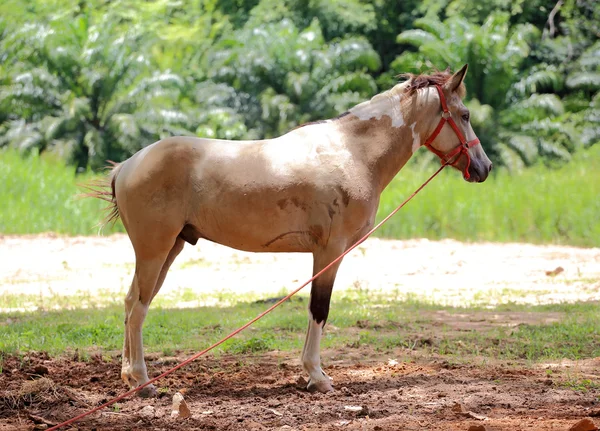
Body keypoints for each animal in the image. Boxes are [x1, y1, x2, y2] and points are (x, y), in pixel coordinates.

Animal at [90, 64, 492, 398]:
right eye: (465, 115)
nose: (483, 166)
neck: (352, 152)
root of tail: (127, 165)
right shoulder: (330, 251)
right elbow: (319, 309)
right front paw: (317, 376)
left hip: (168, 250)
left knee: (130, 303)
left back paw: (129, 378)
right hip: (155, 251)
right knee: (138, 309)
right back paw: (143, 383)